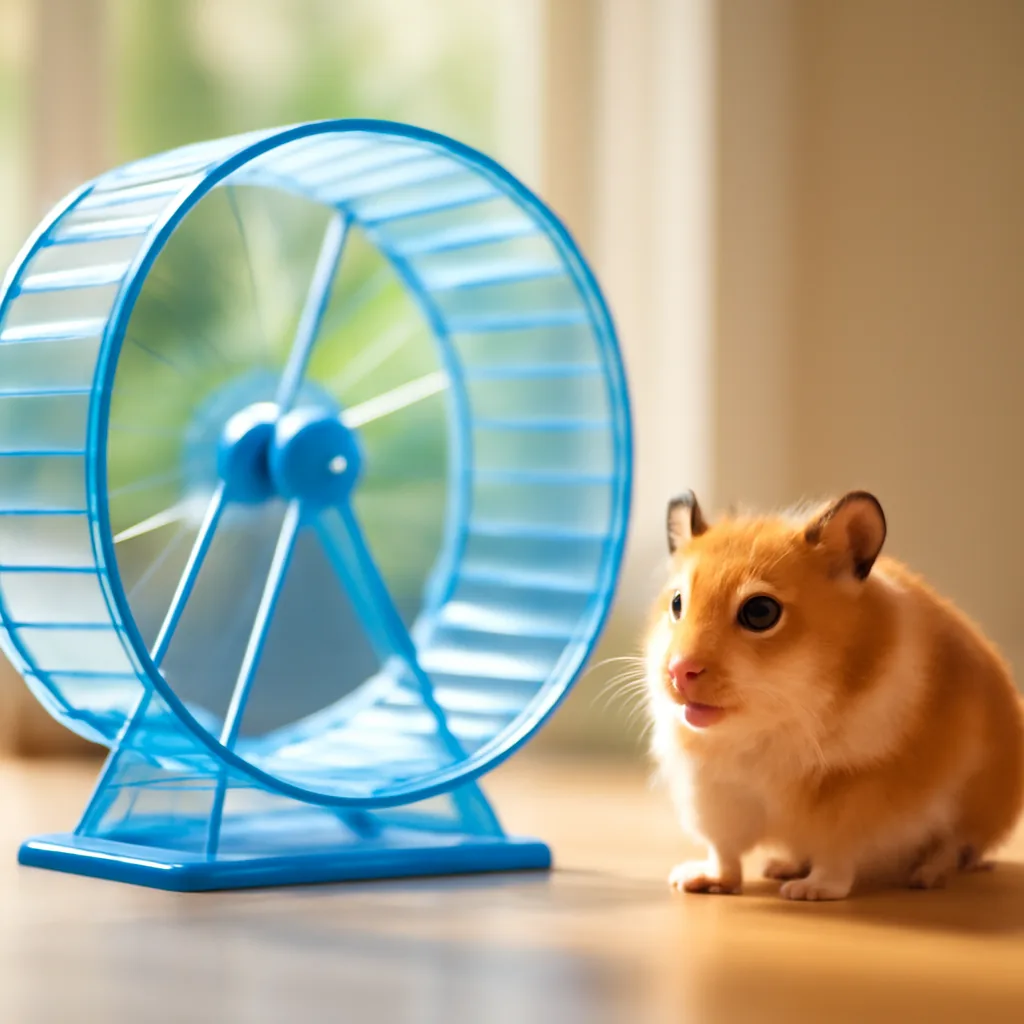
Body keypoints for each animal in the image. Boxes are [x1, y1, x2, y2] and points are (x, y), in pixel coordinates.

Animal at [644, 490, 1024, 900]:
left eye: (760, 612)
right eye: (677, 603)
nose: (678, 671)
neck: (767, 723)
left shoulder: (854, 797)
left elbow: (835, 858)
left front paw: (806, 893)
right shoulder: (716, 795)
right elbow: (724, 853)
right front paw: (690, 881)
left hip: (971, 808)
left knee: (953, 846)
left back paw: (923, 878)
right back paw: (779, 867)